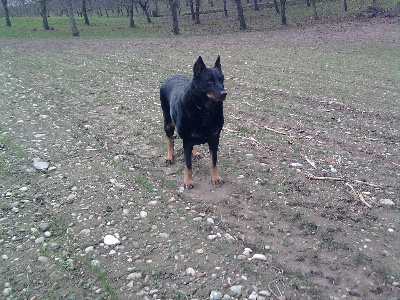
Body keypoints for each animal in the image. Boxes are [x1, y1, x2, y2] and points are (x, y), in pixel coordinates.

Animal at [160, 55, 228, 190]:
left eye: (221, 79)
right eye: (209, 80)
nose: (224, 93)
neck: (204, 110)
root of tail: (170, 77)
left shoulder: (214, 139)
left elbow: (213, 162)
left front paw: (215, 177)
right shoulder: (187, 139)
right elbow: (188, 165)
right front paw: (188, 181)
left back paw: (194, 153)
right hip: (168, 123)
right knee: (170, 140)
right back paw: (169, 156)